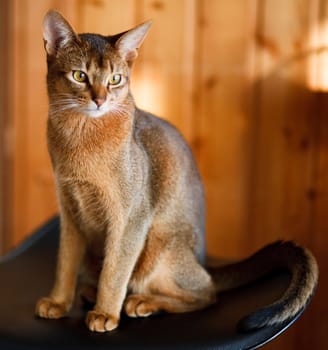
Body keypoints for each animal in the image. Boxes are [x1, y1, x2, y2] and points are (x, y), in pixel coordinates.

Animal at [35, 10, 318, 334]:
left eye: (115, 79)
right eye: (80, 76)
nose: (100, 100)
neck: (80, 134)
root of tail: (204, 262)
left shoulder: (131, 217)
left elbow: (115, 271)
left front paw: (105, 313)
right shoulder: (70, 212)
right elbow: (65, 263)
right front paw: (58, 302)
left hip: (160, 251)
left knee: (207, 293)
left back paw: (142, 302)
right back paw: (94, 294)